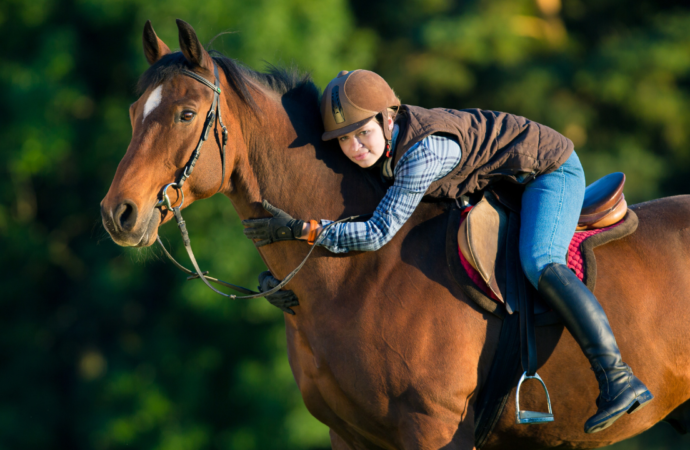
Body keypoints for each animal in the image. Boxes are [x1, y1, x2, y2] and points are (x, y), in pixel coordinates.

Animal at [101, 19, 688, 448]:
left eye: (186, 114)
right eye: (132, 111)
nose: (118, 214)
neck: (356, 277)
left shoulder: (433, 429)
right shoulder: (349, 434)